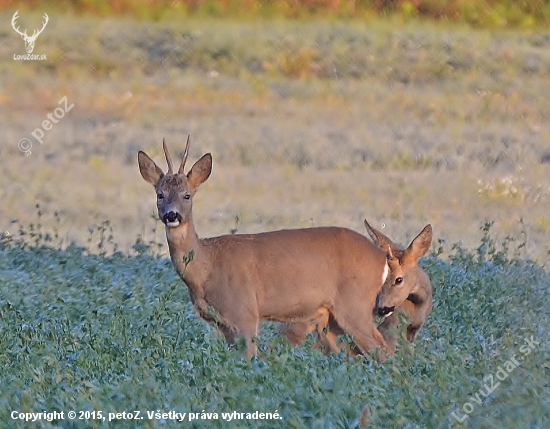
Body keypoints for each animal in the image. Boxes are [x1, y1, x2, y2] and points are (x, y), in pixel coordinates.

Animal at [138, 137, 398, 358]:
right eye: (160, 194)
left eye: (187, 195)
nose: (172, 215)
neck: (207, 267)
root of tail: (381, 257)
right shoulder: (224, 324)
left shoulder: (244, 313)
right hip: (330, 319)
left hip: (354, 304)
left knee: (384, 351)